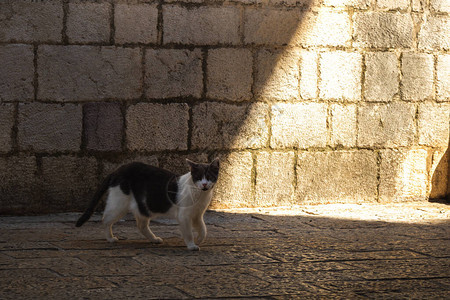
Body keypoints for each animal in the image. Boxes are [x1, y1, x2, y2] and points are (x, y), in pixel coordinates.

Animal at [76, 159, 220, 251]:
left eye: (209, 177)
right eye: (199, 177)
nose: (204, 184)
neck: (200, 194)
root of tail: (117, 170)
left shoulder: (197, 215)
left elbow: (203, 229)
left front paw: (199, 239)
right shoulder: (184, 216)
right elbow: (188, 233)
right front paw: (191, 245)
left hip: (143, 207)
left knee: (141, 226)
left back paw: (154, 239)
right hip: (119, 204)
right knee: (105, 219)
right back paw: (110, 238)